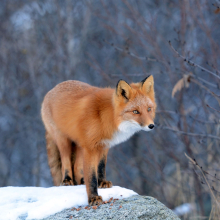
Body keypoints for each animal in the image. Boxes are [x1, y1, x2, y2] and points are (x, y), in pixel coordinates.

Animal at [40, 75, 156, 205]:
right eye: (135, 111)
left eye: (149, 109)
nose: (151, 126)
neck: (106, 116)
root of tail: (53, 88)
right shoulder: (90, 148)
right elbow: (91, 176)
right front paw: (93, 197)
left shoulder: (104, 145)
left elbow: (101, 166)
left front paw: (102, 182)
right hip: (63, 141)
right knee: (66, 162)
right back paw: (67, 180)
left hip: (79, 145)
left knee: (76, 167)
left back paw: (80, 181)